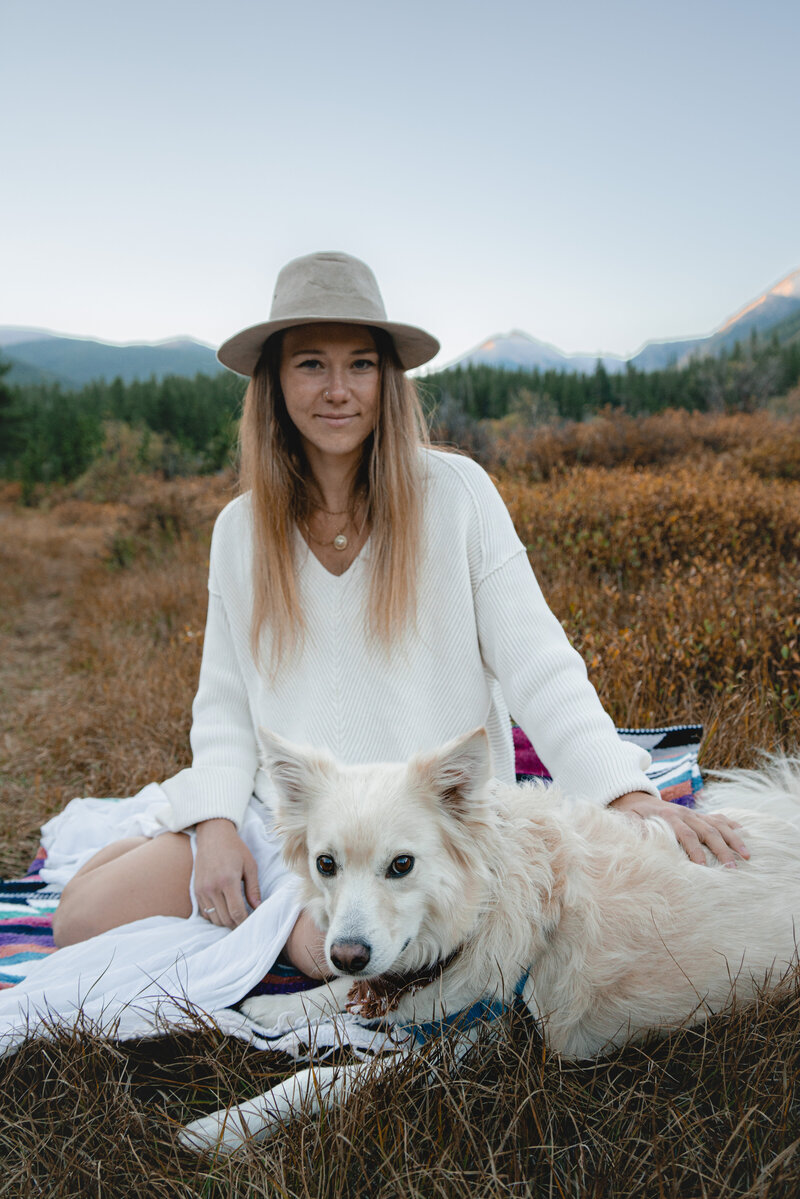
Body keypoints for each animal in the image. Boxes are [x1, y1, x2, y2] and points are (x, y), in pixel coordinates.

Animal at [179, 728, 800, 1151]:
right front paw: (276, 1006)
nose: (347, 954)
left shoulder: (472, 1051)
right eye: (325, 864)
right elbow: (340, 995)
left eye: (402, 865)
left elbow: (323, 1078)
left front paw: (224, 1126)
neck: (483, 909)